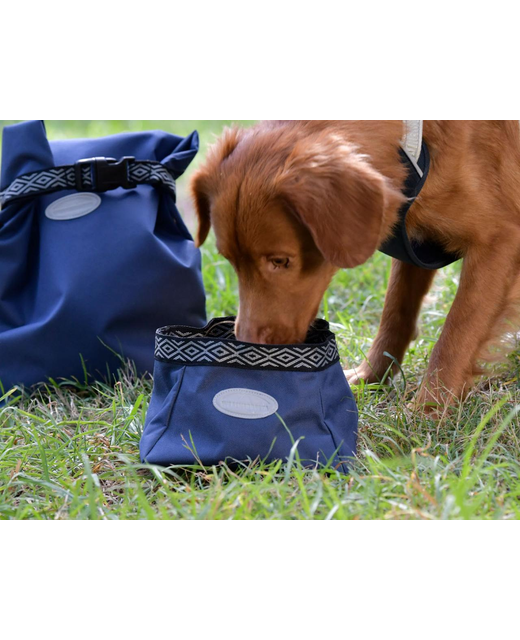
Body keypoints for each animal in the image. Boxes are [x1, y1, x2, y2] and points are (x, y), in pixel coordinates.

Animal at [189, 120, 520, 410]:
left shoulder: (499, 240)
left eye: (280, 261)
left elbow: (456, 334)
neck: (416, 142)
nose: (247, 345)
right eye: (231, 261)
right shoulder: (414, 242)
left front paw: (428, 409)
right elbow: (395, 313)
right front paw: (370, 377)